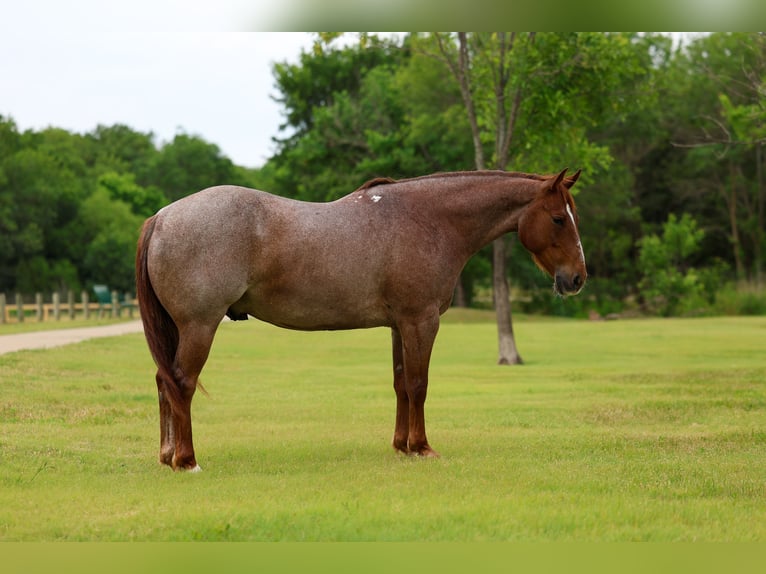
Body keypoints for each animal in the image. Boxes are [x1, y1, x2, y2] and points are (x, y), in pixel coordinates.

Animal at [135, 169, 586, 471]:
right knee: (182, 383)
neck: (429, 219)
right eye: (558, 218)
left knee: (163, 381)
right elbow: (419, 384)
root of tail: (162, 216)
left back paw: (166, 455)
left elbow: (401, 383)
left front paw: (402, 445)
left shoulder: (400, 325)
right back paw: (187, 460)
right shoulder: (421, 321)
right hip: (199, 325)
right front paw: (423, 447)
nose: (578, 278)